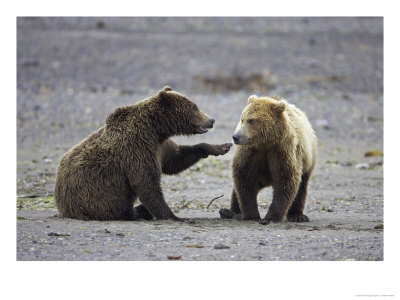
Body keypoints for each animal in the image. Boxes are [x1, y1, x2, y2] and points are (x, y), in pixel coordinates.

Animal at [219, 95, 316, 224]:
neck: (265, 142)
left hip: (307, 161)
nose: (236, 137)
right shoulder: (250, 153)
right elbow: (244, 177)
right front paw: (251, 215)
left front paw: (271, 217)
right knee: (237, 189)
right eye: (242, 119)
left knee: (302, 186)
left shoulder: (282, 150)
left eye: (252, 120)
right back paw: (229, 212)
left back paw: (298, 216)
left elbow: (286, 179)